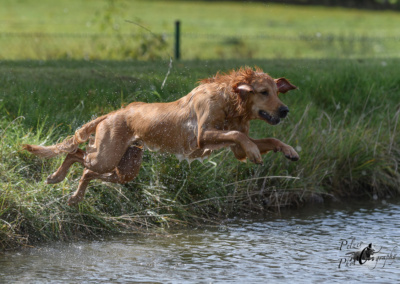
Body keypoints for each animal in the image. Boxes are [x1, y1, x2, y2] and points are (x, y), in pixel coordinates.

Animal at [23, 66, 298, 204]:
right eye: (263, 92)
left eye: (278, 92)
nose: (285, 110)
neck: (230, 102)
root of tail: (111, 114)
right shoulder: (203, 135)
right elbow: (240, 137)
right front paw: (255, 153)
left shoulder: (234, 147)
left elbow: (264, 139)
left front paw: (289, 150)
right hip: (106, 157)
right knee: (77, 154)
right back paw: (56, 177)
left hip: (126, 168)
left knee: (87, 171)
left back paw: (74, 196)